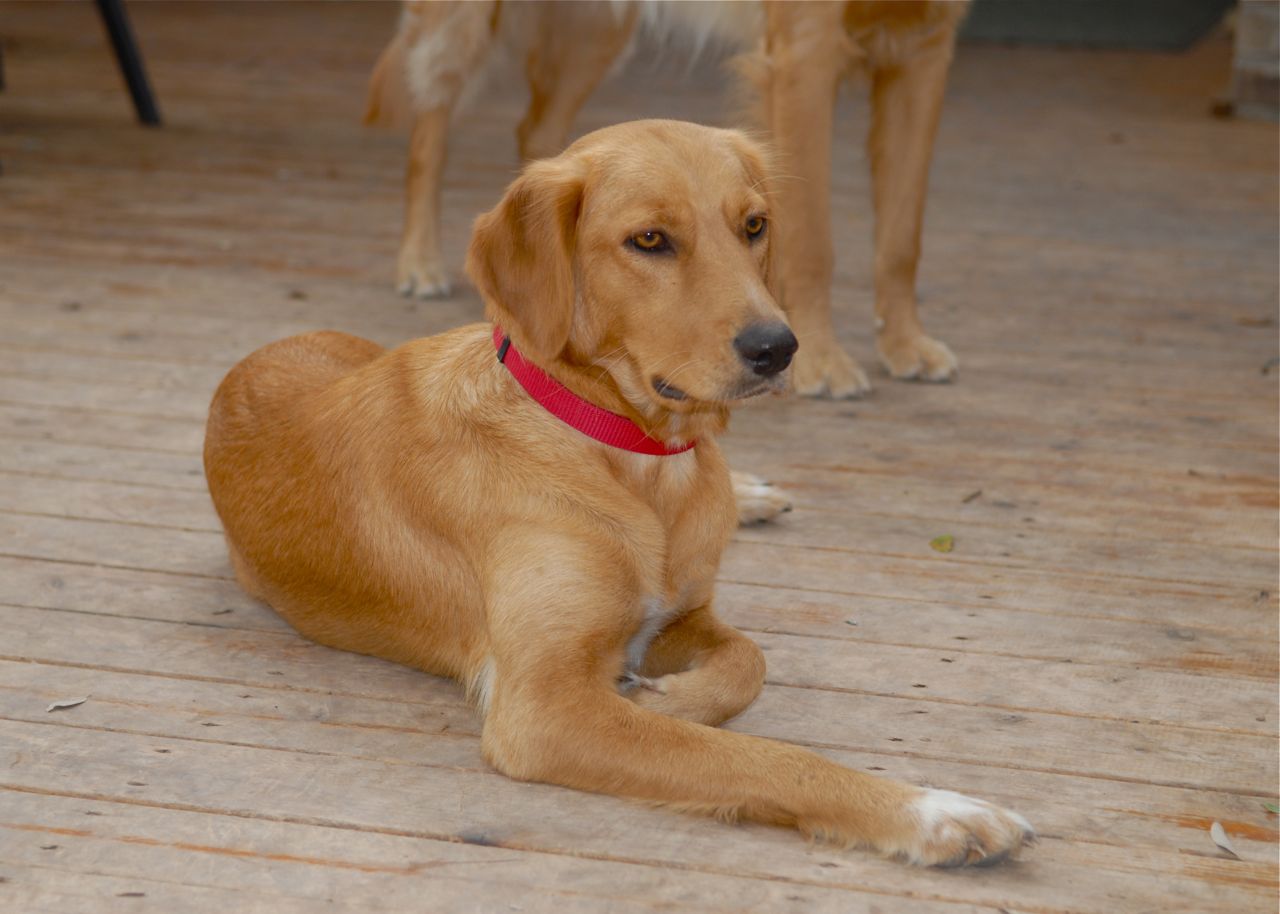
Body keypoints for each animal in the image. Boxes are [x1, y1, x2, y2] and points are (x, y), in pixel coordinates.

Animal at [205, 120, 1033, 865]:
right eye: (650, 241)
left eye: (754, 226)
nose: (779, 348)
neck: (637, 458)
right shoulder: (543, 708)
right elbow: (763, 757)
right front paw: (933, 812)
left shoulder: (683, 614)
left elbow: (749, 658)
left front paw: (671, 695)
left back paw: (751, 492)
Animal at [366, 0, 968, 398]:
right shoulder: (806, 52)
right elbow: (813, 238)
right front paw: (822, 358)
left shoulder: (927, 48)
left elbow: (902, 234)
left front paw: (905, 342)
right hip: (462, 27)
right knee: (430, 119)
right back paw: (418, 260)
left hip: (595, 31)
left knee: (540, 137)